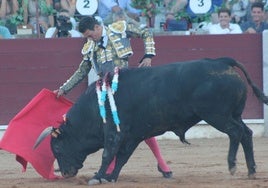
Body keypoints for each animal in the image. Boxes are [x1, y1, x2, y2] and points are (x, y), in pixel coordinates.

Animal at [35, 57, 268, 184]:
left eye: (57, 148)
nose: (66, 173)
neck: (93, 108)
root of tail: (222, 62)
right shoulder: (132, 136)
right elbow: (122, 158)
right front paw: (110, 177)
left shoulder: (114, 133)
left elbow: (107, 155)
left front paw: (98, 176)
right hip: (233, 114)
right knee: (246, 133)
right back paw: (251, 170)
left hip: (217, 115)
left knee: (236, 133)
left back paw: (232, 165)